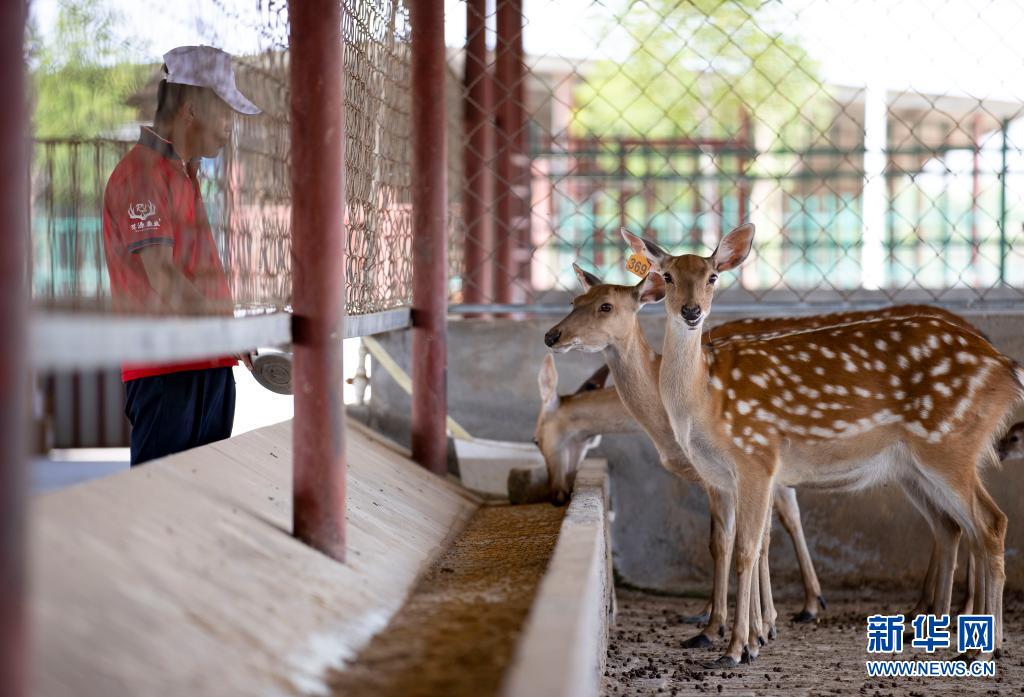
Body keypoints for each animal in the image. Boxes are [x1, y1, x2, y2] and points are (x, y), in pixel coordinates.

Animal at [626, 221, 1019, 663]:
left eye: (712, 277)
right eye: (668, 276)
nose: (691, 312)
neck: (703, 400)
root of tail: (1006, 369)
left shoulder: (756, 456)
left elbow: (748, 550)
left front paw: (739, 647)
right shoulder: (726, 476)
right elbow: (736, 544)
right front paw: (744, 635)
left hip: (950, 443)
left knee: (990, 523)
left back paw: (981, 648)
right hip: (922, 462)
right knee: (959, 527)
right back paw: (958, 636)